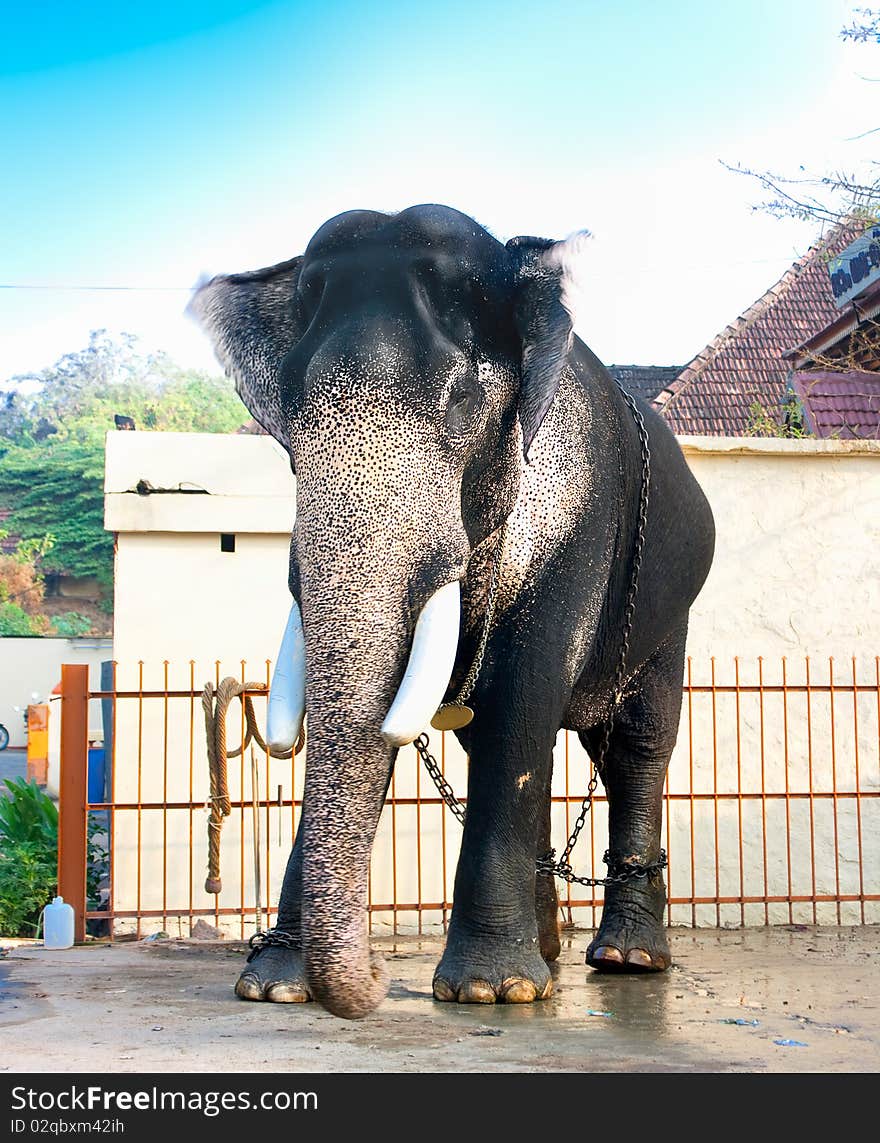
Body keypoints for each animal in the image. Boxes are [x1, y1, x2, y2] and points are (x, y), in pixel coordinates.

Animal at [189, 203, 713, 1019]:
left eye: (463, 400)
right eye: (291, 416)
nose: (376, 981)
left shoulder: (577, 527)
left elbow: (521, 708)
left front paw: (489, 990)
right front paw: (272, 985)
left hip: (667, 612)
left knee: (636, 745)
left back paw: (623, 958)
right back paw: (551, 954)